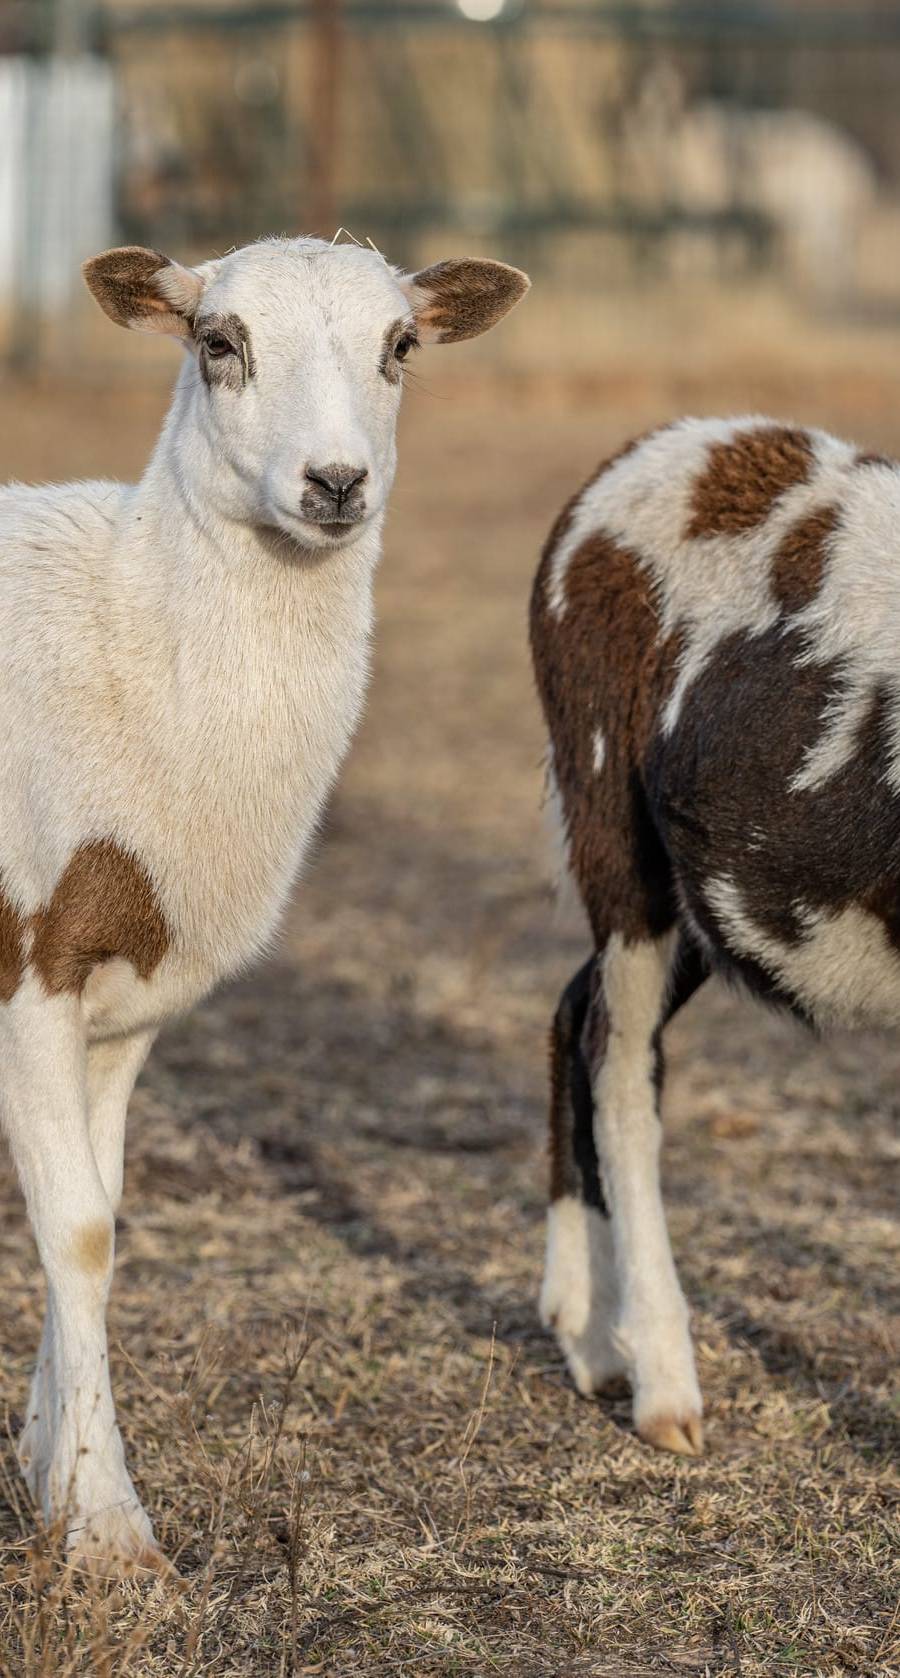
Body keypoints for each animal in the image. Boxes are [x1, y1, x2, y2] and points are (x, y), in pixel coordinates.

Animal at [0, 234, 528, 1573]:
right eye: (217, 343)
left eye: (403, 346)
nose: (335, 481)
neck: (126, 626)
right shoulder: (27, 950)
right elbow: (75, 1229)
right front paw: (114, 1536)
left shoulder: (126, 987)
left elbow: (100, 1215)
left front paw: (57, 1478)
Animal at [530, 416, 899, 1457]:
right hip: (613, 826)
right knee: (619, 1067)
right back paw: (663, 1388)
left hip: (703, 894)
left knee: (575, 1009)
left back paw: (586, 1336)